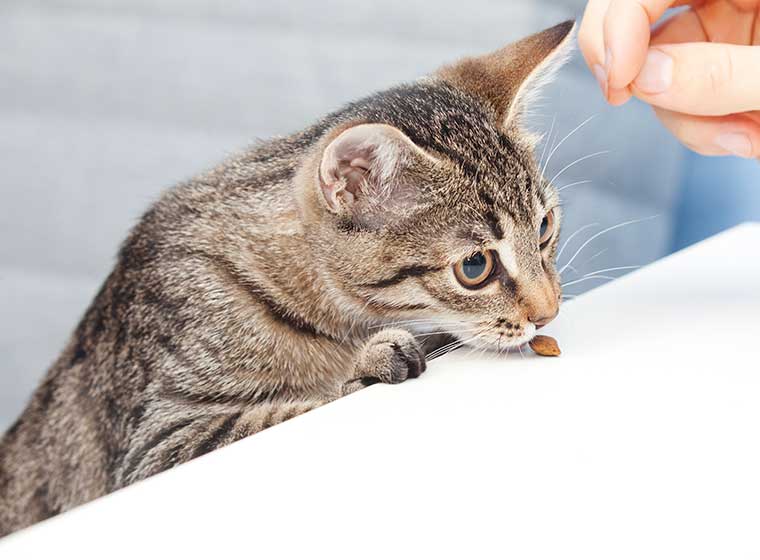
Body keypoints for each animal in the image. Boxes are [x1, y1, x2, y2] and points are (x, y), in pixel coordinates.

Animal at [0, 21, 568, 540]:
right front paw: (367, 365)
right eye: (475, 268)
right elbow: (284, 412)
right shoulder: (157, 443)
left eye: (544, 227)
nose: (549, 311)